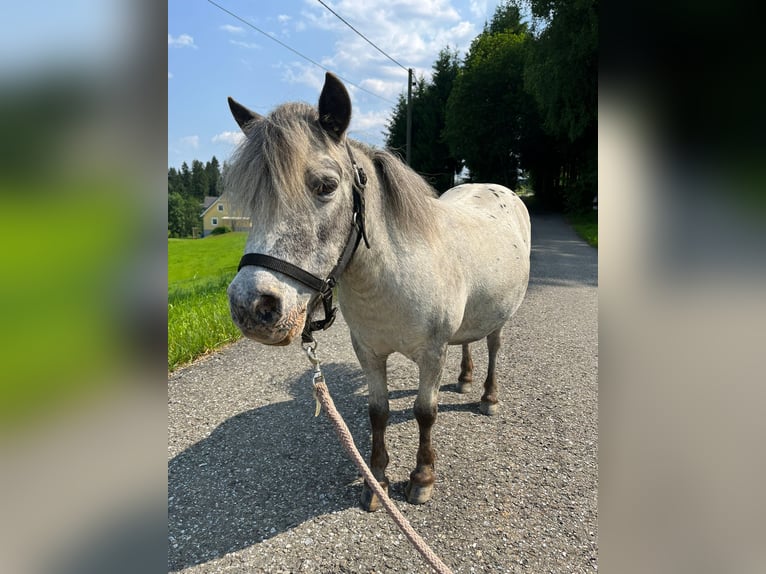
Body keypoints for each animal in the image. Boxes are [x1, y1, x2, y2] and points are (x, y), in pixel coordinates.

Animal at [225, 73, 532, 512]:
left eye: (326, 186)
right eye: (252, 199)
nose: (252, 306)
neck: (393, 278)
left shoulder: (432, 354)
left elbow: (425, 412)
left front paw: (422, 478)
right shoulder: (368, 352)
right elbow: (378, 412)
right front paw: (377, 482)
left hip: (503, 316)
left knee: (493, 345)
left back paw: (488, 397)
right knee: (469, 341)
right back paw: (465, 379)